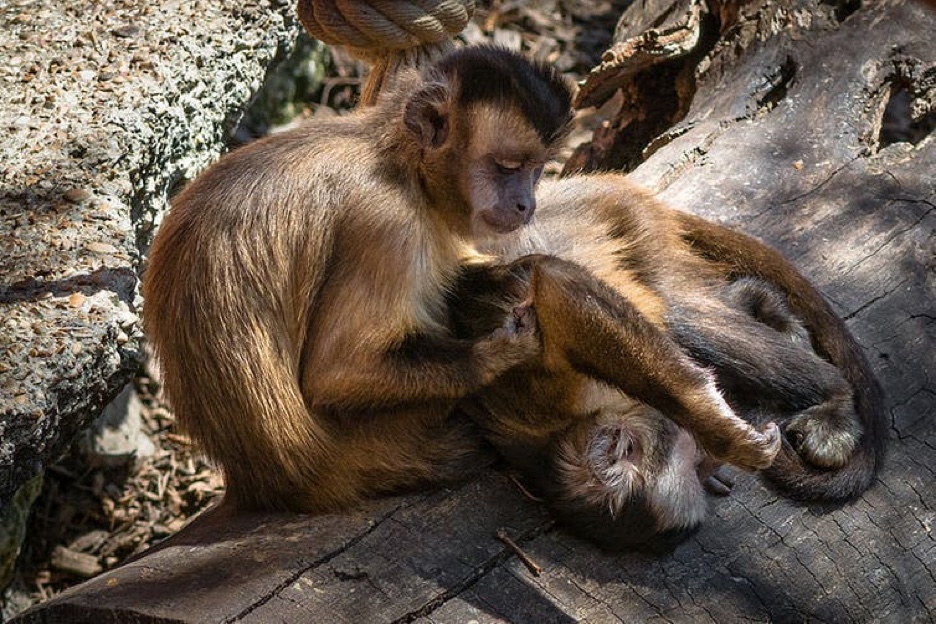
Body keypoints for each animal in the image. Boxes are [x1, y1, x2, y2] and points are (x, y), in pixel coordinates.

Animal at [450, 173, 888, 552]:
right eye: (696, 468)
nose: (709, 462)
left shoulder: (550, 396)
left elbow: (554, 282)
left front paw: (721, 430)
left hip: (618, 215)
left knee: (680, 315)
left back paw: (835, 396)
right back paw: (762, 303)